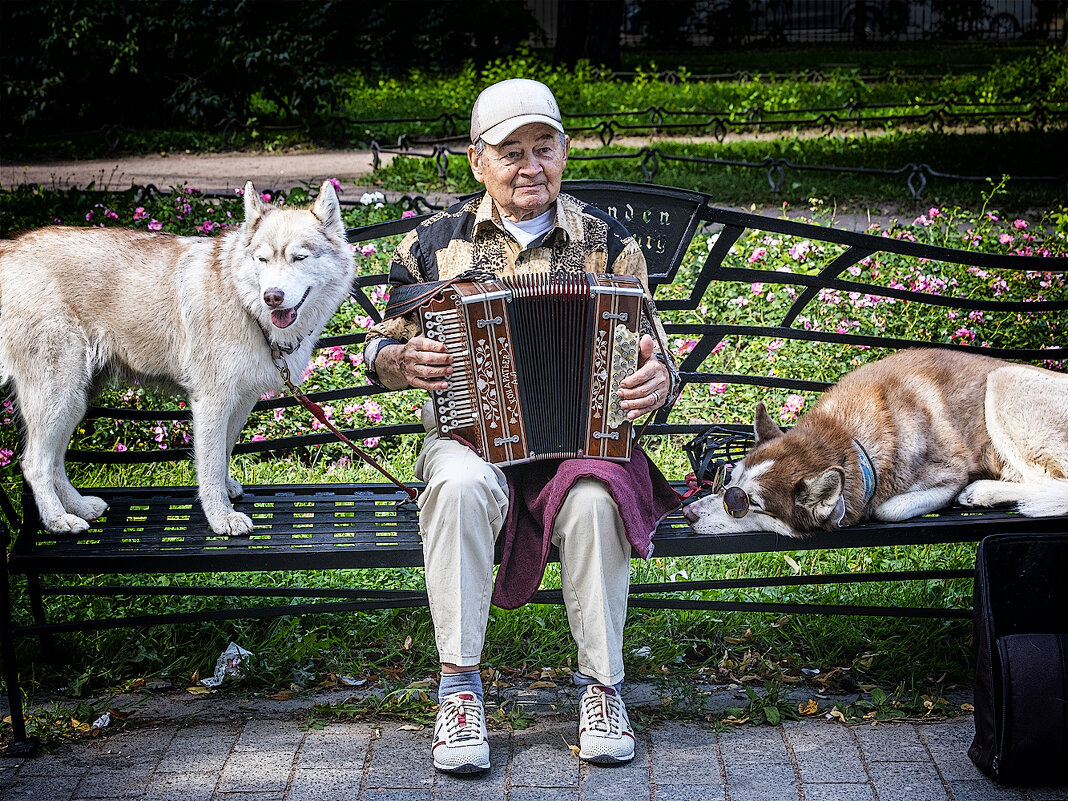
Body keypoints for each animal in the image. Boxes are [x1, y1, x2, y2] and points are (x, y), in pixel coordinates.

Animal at [683, 350, 1068, 540]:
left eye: (743, 504)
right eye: (727, 483)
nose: (687, 513)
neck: (849, 439)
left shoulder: (951, 473)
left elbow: (887, 509)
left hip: (1003, 383)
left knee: (1051, 483)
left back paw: (985, 491)